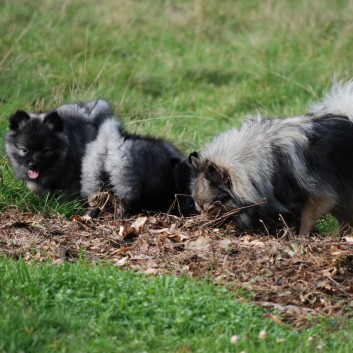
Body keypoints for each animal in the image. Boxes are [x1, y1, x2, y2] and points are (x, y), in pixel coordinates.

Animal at [186, 80, 353, 234]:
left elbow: (305, 222)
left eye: (211, 209)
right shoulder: (281, 202)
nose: (200, 224)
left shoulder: (319, 196)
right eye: (199, 209)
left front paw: (301, 239)